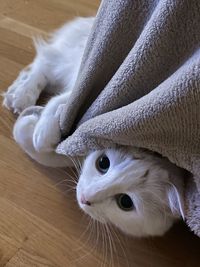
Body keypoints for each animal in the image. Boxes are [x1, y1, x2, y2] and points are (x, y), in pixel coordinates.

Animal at [2, 17, 184, 238]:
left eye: (125, 202)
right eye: (103, 163)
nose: (85, 198)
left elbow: (48, 155)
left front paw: (31, 126)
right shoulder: (93, 94)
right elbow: (61, 102)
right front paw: (41, 132)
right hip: (79, 60)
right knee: (44, 65)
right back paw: (21, 96)